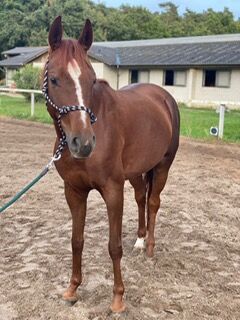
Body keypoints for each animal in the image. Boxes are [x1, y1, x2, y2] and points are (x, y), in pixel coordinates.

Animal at [44, 16, 180, 312]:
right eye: (54, 78)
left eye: (92, 79)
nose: (83, 143)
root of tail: (162, 96)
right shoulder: (74, 191)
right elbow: (76, 241)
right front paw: (72, 289)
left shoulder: (113, 190)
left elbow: (114, 246)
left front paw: (118, 299)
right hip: (137, 172)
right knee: (141, 197)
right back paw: (140, 240)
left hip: (163, 166)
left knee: (153, 203)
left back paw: (149, 248)